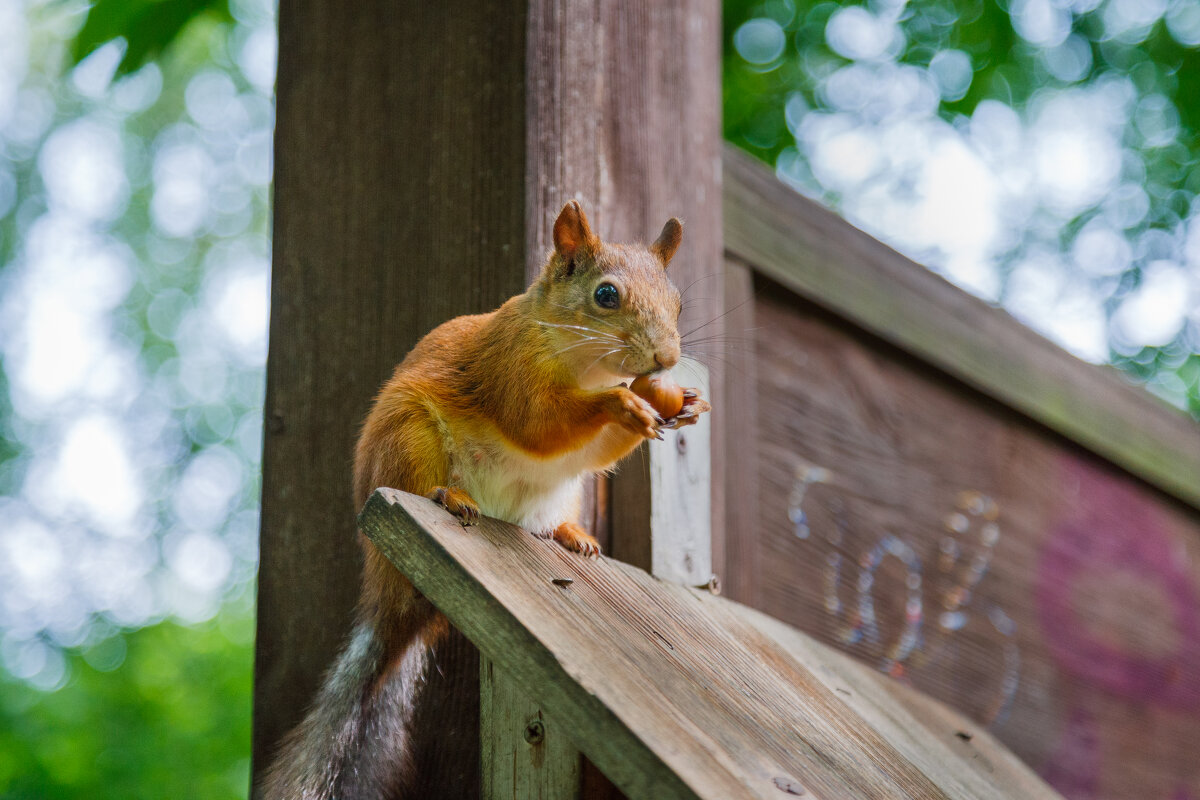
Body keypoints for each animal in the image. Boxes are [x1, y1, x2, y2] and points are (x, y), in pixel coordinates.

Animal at [261, 200, 705, 800]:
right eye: (606, 295)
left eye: (678, 302)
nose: (666, 357)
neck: (585, 364)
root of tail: (390, 590)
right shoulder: (511, 365)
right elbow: (537, 422)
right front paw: (622, 402)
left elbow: (592, 449)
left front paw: (686, 404)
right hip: (408, 438)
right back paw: (451, 496)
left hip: (559, 494)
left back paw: (571, 534)